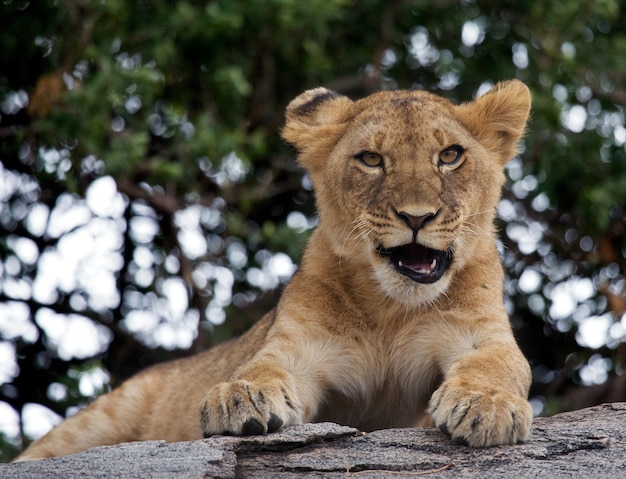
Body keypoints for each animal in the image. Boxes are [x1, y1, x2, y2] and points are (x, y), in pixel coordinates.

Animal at [14, 80, 528, 464]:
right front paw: (241, 396)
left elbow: (498, 364)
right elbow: (263, 367)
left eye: (450, 155)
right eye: (371, 159)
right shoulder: (297, 346)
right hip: (101, 417)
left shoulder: (482, 334)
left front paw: (485, 405)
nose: (416, 217)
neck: (392, 308)